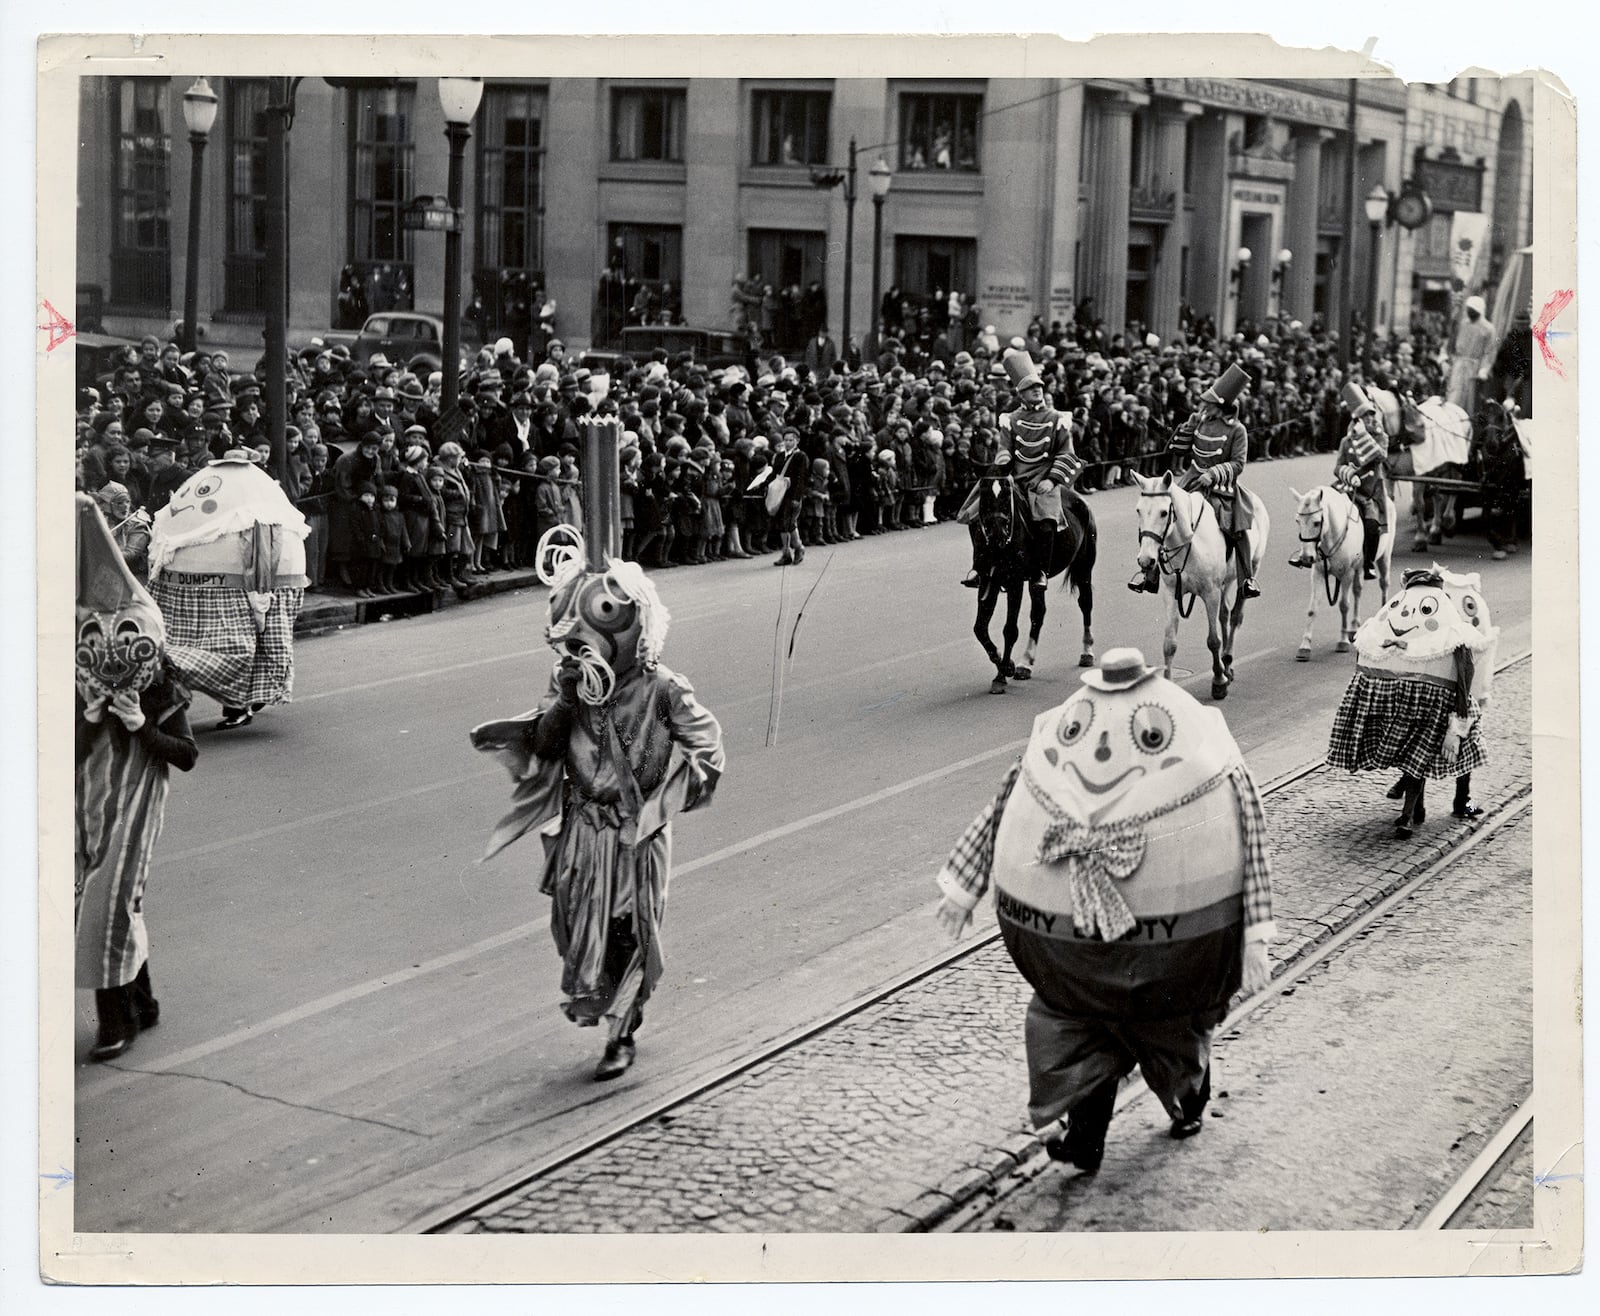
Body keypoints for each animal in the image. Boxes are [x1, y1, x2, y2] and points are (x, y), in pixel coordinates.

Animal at [966, 477, 1094, 701]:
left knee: (1085, 603)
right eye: (984, 499)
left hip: (1084, 565)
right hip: (1037, 583)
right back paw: (1025, 663)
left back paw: (1087, 652)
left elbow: (1010, 630)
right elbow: (980, 628)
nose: (998, 536)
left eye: (1006, 498)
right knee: (1038, 613)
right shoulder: (988, 581)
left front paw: (1002, 674)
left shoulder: (1015, 582)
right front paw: (1005, 663)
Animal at [1132, 470, 1267, 701]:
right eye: (1139, 510)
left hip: (1250, 570)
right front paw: (1169, 684)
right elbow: (1169, 643)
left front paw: (1218, 682)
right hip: (1226, 582)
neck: (1188, 541)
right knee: (1224, 614)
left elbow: (1213, 640)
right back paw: (1226, 665)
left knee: (1235, 616)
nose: (1146, 560)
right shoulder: (1171, 593)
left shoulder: (1210, 592)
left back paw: (1227, 662)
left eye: (1163, 513)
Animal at [1286, 483, 1388, 659]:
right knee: (1358, 591)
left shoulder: (1347, 573)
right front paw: (1305, 646)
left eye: (1316, 523)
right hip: (1358, 568)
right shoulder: (1318, 573)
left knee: (1383, 584)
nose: (1306, 558)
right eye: (1298, 521)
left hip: (1383, 557)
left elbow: (1343, 605)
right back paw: (1354, 628)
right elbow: (1312, 608)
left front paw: (1342, 641)